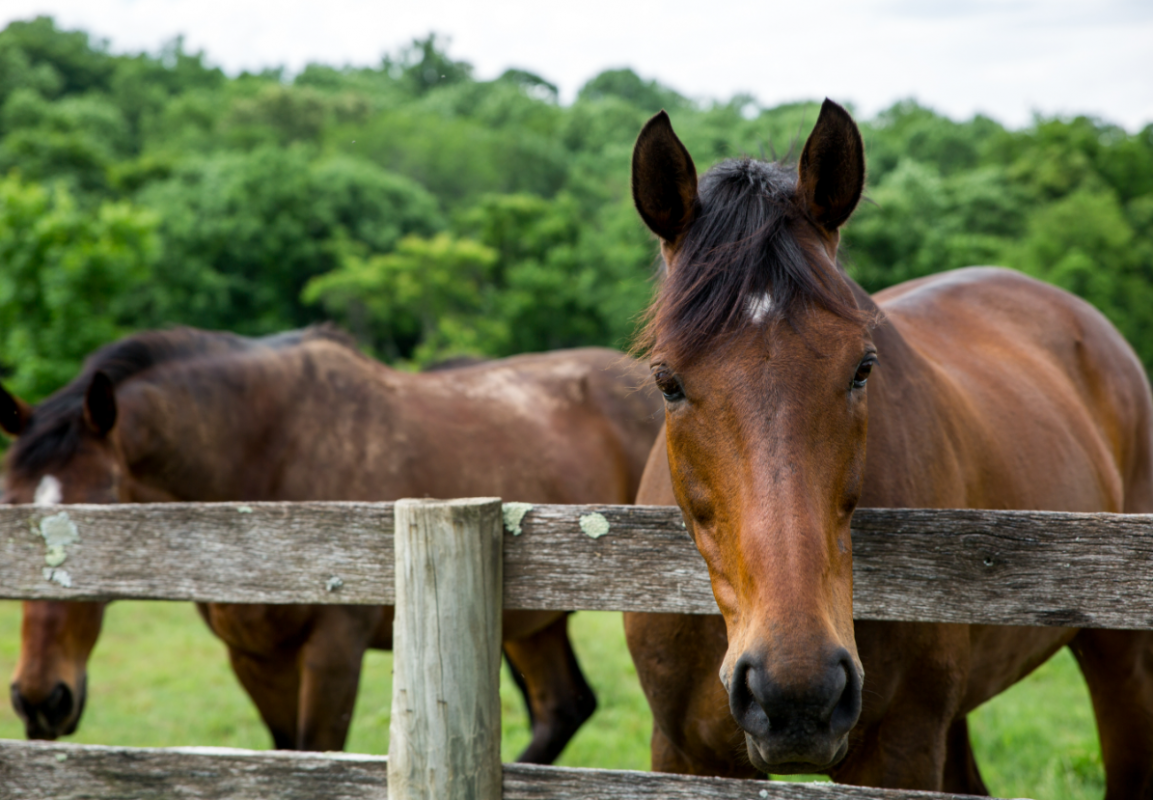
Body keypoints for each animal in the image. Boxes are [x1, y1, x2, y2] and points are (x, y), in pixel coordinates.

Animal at [1, 325, 663, 761]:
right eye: (9, 508)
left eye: (103, 513)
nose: (40, 699)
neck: (264, 468)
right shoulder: (254, 659)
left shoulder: (333, 652)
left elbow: (317, 752)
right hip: (533, 623)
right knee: (564, 708)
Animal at [622, 100, 1153, 796]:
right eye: (668, 381)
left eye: (862, 369)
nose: (797, 694)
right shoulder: (680, 754)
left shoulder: (901, 748)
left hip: (1121, 660)